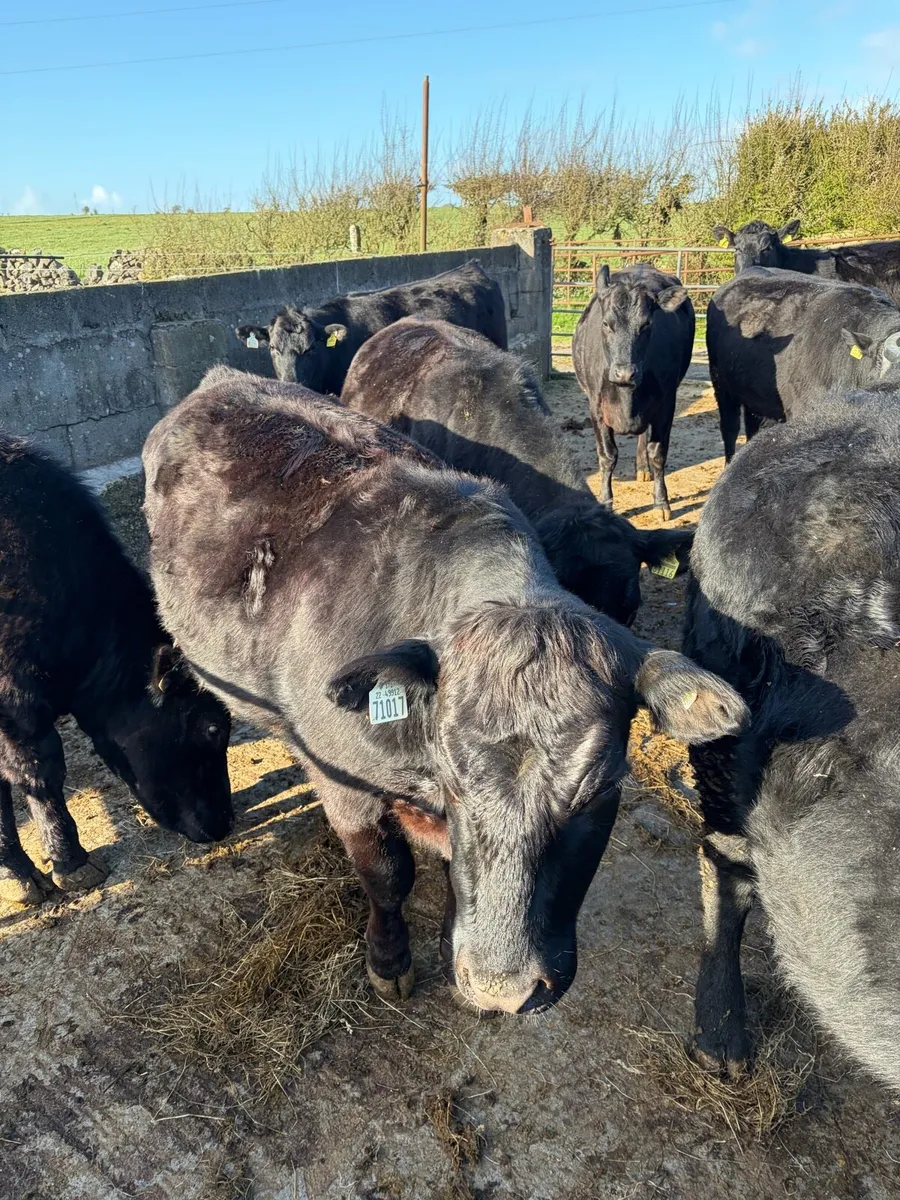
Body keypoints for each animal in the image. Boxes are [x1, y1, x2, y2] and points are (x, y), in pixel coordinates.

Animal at [143, 367, 747, 1015]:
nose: (504, 989)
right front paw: (390, 961)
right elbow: (388, 875)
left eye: (603, 789)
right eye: (453, 780)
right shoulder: (343, 782)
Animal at [572, 264, 695, 520]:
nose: (624, 373)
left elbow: (657, 452)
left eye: (646, 324)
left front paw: (661, 502)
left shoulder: (666, 405)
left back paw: (643, 468)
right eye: (606, 324)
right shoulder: (596, 409)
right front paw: (606, 501)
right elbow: (607, 456)